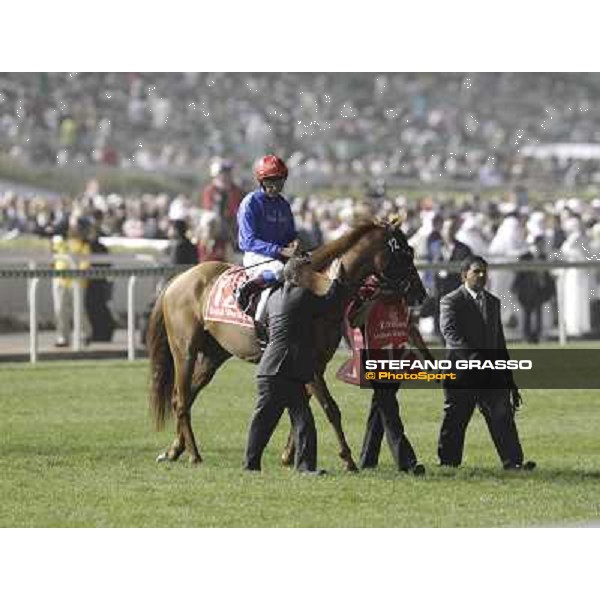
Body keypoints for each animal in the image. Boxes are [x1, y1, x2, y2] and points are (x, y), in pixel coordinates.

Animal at [147, 218, 424, 472]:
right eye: (404, 252)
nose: (420, 293)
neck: (319, 288)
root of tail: (178, 280)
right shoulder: (311, 365)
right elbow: (329, 408)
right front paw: (347, 459)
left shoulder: (315, 365)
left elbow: (301, 406)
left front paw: (290, 455)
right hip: (185, 351)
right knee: (182, 398)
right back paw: (194, 454)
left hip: (214, 355)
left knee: (184, 397)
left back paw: (174, 450)